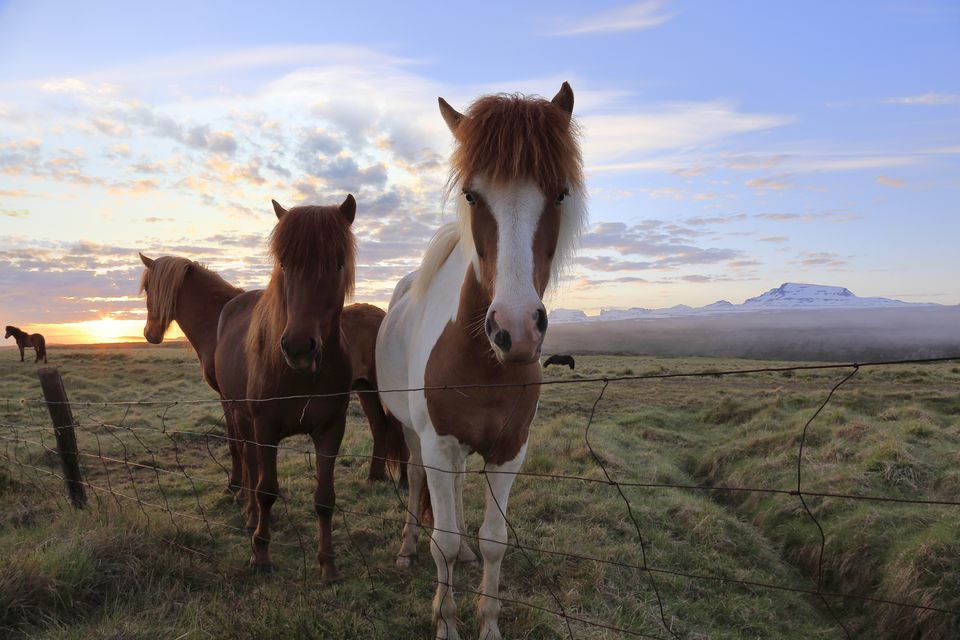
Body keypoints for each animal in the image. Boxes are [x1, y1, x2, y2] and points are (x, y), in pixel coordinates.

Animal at [137, 256, 248, 496]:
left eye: (148, 287)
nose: (149, 334)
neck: (219, 321)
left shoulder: (230, 398)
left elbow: (238, 442)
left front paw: (237, 486)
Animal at [214, 192, 356, 576]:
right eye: (285, 263)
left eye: (337, 264)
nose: (298, 348)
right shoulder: (265, 427)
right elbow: (266, 490)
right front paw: (260, 553)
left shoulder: (331, 429)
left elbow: (325, 499)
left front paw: (328, 564)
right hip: (239, 415)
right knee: (249, 463)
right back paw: (250, 516)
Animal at [376, 85, 584, 640]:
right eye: (472, 195)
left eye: (559, 194)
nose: (515, 330)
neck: (484, 364)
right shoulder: (436, 443)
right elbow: (442, 541)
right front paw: (445, 621)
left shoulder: (510, 451)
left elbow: (495, 540)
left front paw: (487, 621)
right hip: (414, 437)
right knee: (418, 488)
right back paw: (406, 550)